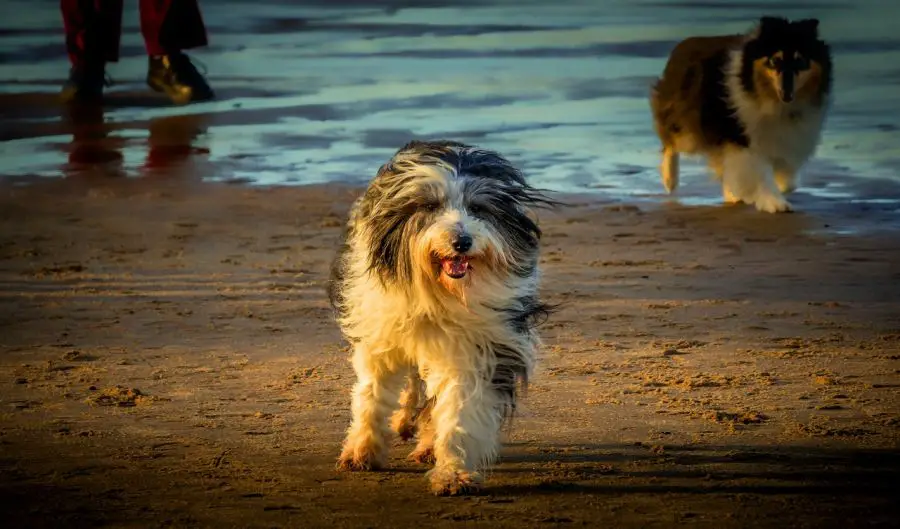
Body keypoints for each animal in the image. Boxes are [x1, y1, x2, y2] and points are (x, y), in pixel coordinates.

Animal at [330, 140, 556, 496]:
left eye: (478, 208)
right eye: (430, 205)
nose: (461, 242)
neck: (439, 292)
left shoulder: (476, 345)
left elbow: (458, 407)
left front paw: (452, 472)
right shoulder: (380, 332)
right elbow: (372, 393)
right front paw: (361, 451)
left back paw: (426, 443)